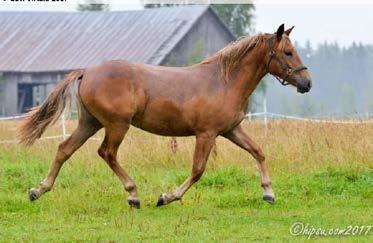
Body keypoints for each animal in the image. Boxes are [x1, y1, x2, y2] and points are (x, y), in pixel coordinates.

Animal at [19, 23, 310, 208]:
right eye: (287, 52)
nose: (307, 83)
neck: (224, 81)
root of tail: (87, 72)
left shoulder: (231, 130)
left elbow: (258, 152)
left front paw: (269, 194)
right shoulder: (207, 134)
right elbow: (197, 170)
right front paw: (167, 197)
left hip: (90, 123)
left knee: (64, 149)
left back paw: (38, 190)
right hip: (116, 125)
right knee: (107, 153)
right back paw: (133, 195)